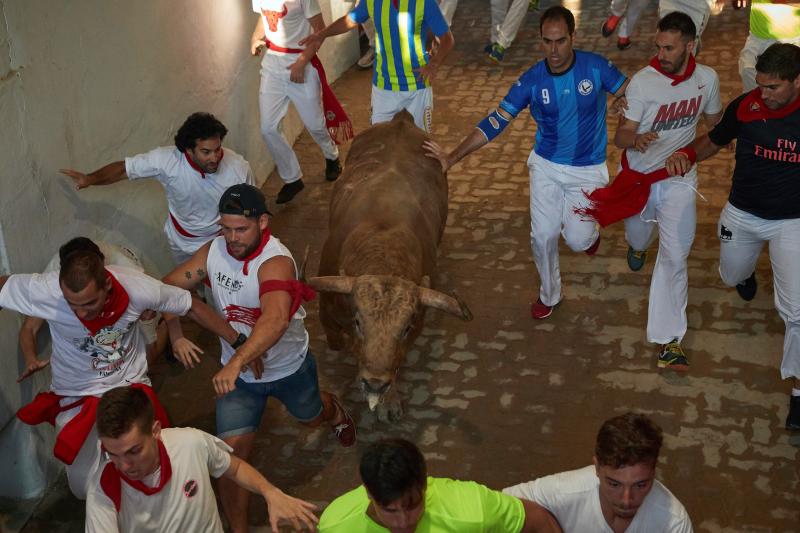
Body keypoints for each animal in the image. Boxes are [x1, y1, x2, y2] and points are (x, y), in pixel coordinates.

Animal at [306, 112, 468, 420]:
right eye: (359, 322)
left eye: (405, 328)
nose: (374, 383)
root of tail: (401, 119)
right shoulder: (327, 313)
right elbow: (338, 341)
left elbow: (398, 360)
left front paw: (390, 399)